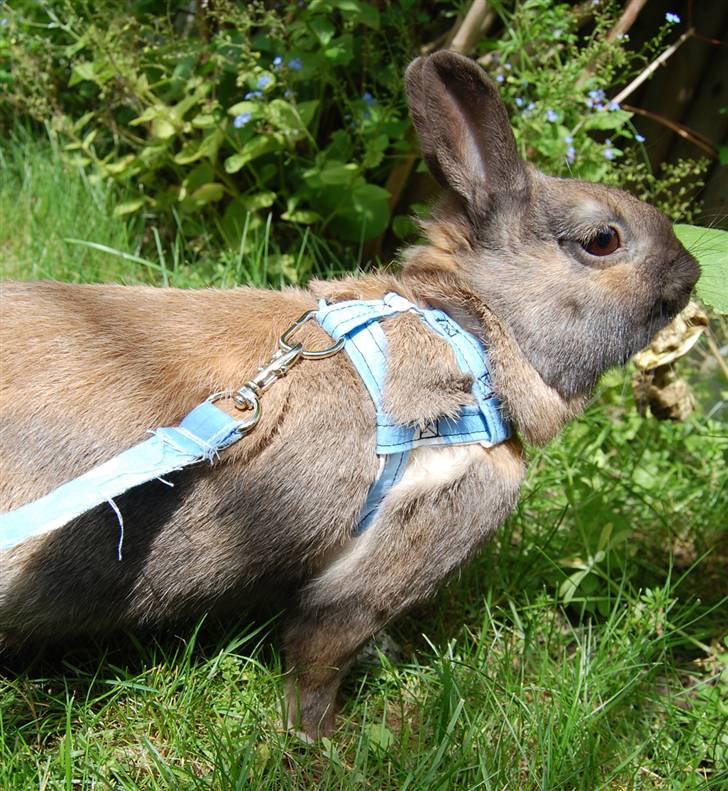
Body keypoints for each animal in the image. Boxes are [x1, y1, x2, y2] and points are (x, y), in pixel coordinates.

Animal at [0, 51, 699, 739]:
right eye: (603, 240)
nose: (691, 272)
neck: (472, 332)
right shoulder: (386, 562)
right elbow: (319, 656)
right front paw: (323, 741)